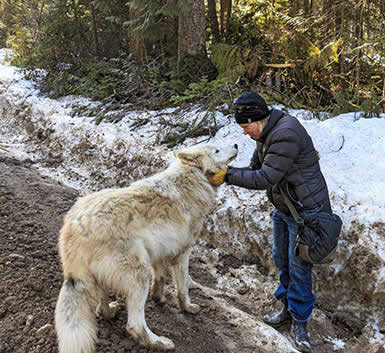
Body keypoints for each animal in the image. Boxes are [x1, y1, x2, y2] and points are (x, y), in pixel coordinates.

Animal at [54, 142, 237, 352]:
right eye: (216, 150)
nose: (236, 144)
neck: (193, 176)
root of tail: (74, 229)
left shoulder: (158, 252)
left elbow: (161, 278)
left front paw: (159, 298)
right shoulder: (182, 254)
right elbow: (183, 288)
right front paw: (188, 308)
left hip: (104, 277)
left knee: (101, 309)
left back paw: (112, 311)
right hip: (139, 274)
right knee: (134, 325)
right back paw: (159, 342)